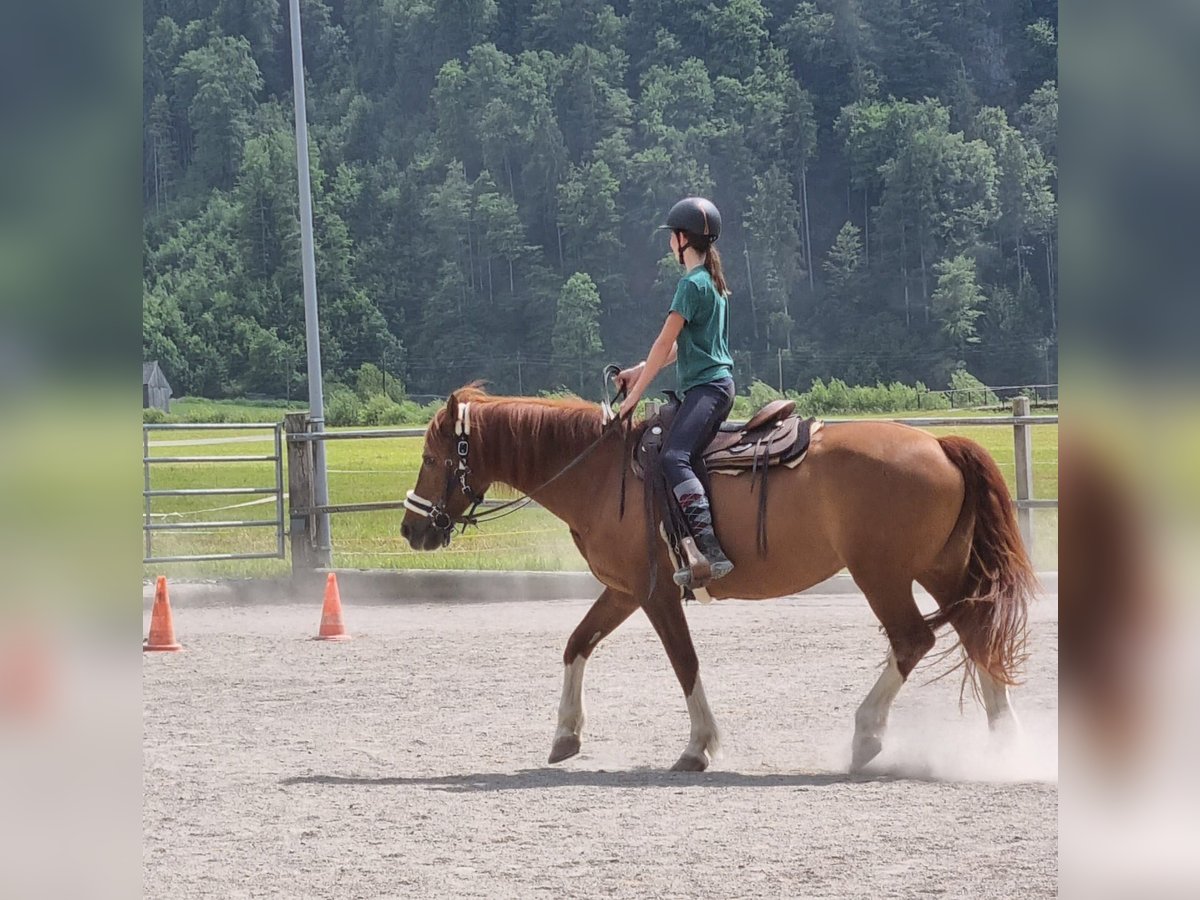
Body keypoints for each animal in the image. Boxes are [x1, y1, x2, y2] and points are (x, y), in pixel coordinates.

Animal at [398, 384, 1036, 772]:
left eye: (430, 459)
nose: (411, 528)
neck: (601, 472)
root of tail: (940, 444)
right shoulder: (625, 589)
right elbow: (577, 643)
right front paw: (565, 735)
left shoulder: (655, 593)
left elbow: (685, 663)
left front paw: (698, 746)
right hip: (940, 570)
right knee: (977, 635)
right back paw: (1004, 746)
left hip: (882, 575)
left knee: (914, 639)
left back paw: (867, 735)